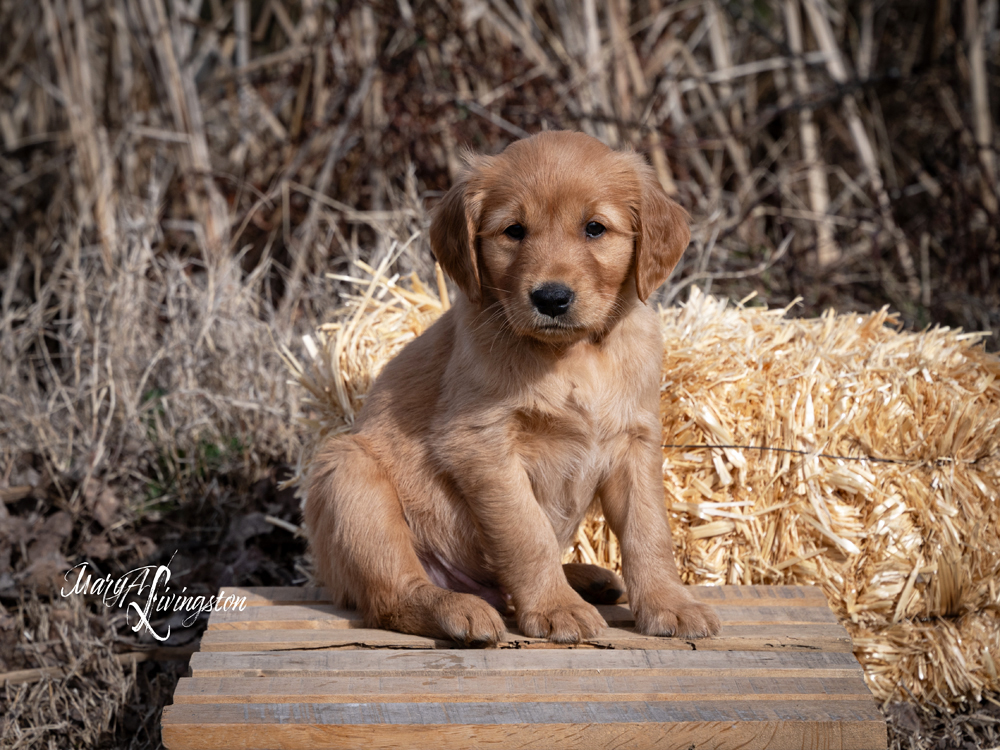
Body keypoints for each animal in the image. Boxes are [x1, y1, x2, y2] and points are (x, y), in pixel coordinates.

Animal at [304, 129, 720, 648]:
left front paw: (670, 604)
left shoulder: (635, 441)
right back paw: (461, 609)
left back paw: (585, 578)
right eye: (514, 231)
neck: (573, 356)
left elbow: (650, 531)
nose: (551, 298)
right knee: (392, 598)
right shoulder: (482, 443)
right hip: (347, 471)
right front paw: (557, 608)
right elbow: (527, 533)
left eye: (595, 229)